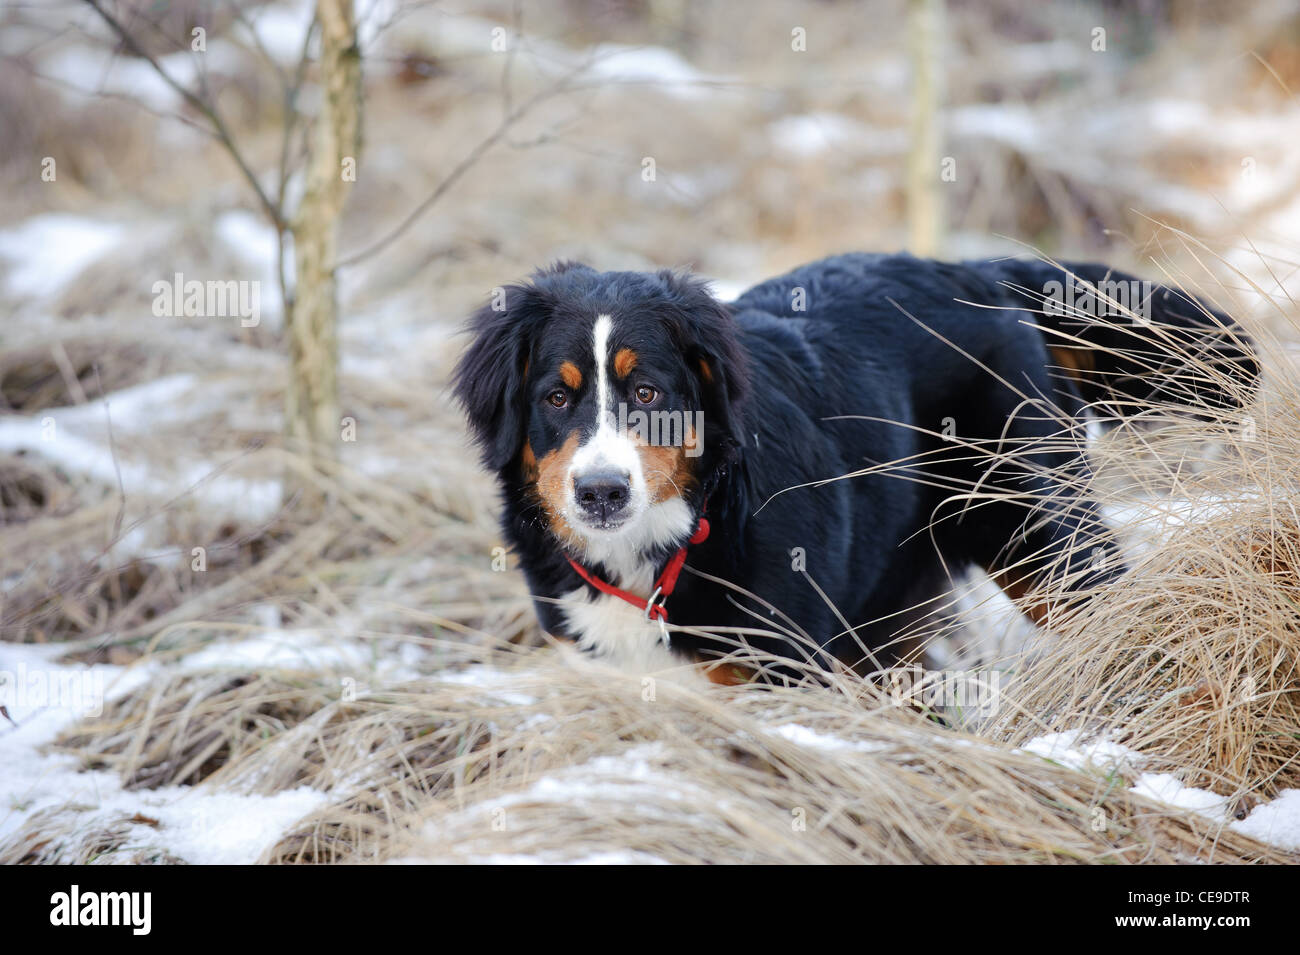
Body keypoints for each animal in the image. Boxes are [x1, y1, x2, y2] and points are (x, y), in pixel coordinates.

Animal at [457, 254, 1258, 686]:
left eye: (648, 393)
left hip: (1042, 539)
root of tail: (982, 271)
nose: (600, 491)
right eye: (556, 397)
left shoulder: (779, 670)